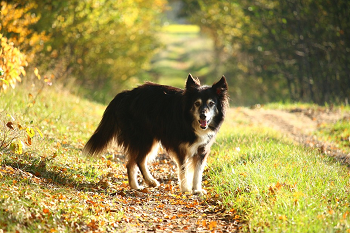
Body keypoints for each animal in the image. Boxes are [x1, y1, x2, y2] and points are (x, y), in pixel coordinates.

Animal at [83, 73, 228, 194]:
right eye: (197, 103)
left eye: (211, 103)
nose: (203, 116)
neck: (189, 121)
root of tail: (127, 94)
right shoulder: (180, 148)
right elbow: (183, 169)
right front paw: (186, 189)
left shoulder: (202, 149)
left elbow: (198, 171)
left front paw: (197, 190)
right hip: (145, 138)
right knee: (139, 160)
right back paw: (150, 181)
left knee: (131, 162)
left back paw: (136, 186)